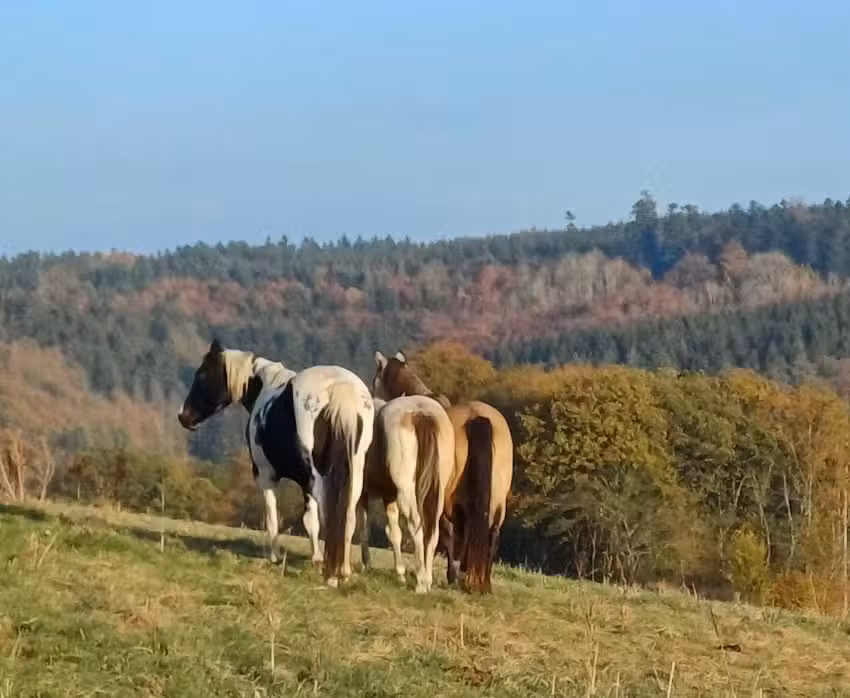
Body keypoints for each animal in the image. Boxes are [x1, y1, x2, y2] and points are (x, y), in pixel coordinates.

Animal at [177, 338, 375, 588]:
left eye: (202, 375)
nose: (183, 417)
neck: (264, 387)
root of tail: (339, 390)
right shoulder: (305, 483)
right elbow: (310, 520)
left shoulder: (266, 475)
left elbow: (275, 517)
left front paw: (277, 558)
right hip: (353, 472)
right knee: (347, 517)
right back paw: (344, 572)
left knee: (329, 516)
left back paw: (331, 574)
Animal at [357, 394, 455, 593]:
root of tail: (421, 414)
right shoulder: (388, 496)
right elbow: (394, 532)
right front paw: (400, 574)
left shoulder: (363, 493)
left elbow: (362, 527)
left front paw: (366, 566)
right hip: (436, 493)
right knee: (432, 530)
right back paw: (427, 579)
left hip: (407, 492)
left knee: (416, 524)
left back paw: (421, 582)